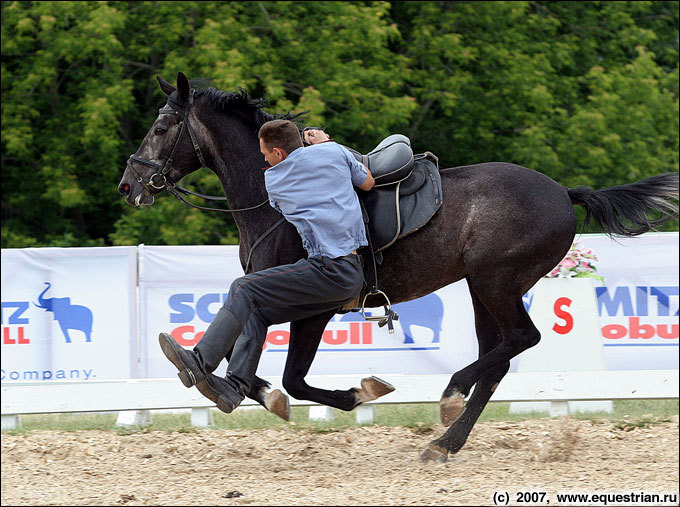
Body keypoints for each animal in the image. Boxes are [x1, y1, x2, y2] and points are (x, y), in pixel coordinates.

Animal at [119, 72, 676, 464]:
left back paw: (450, 397)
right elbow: (266, 364)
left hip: (495, 281)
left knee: (520, 340)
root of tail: (563, 192)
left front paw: (352, 393)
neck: (271, 199)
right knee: (497, 359)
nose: (129, 185)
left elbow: (293, 377)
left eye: (161, 128)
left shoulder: (311, 306)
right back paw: (447, 440)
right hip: (481, 289)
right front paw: (245, 387)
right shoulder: (287, 302)